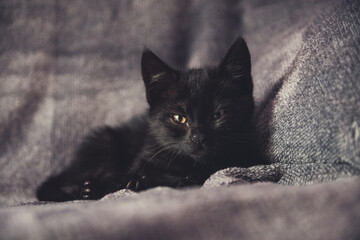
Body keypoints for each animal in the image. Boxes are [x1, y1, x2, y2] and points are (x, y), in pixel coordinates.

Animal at [36, 38, 262, 202]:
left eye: (217, 115)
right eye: (179, 118)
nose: (198, 137)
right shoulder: (145, 156)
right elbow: (139, 175)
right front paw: (135, 182)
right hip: (104, 144)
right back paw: (86, 190)